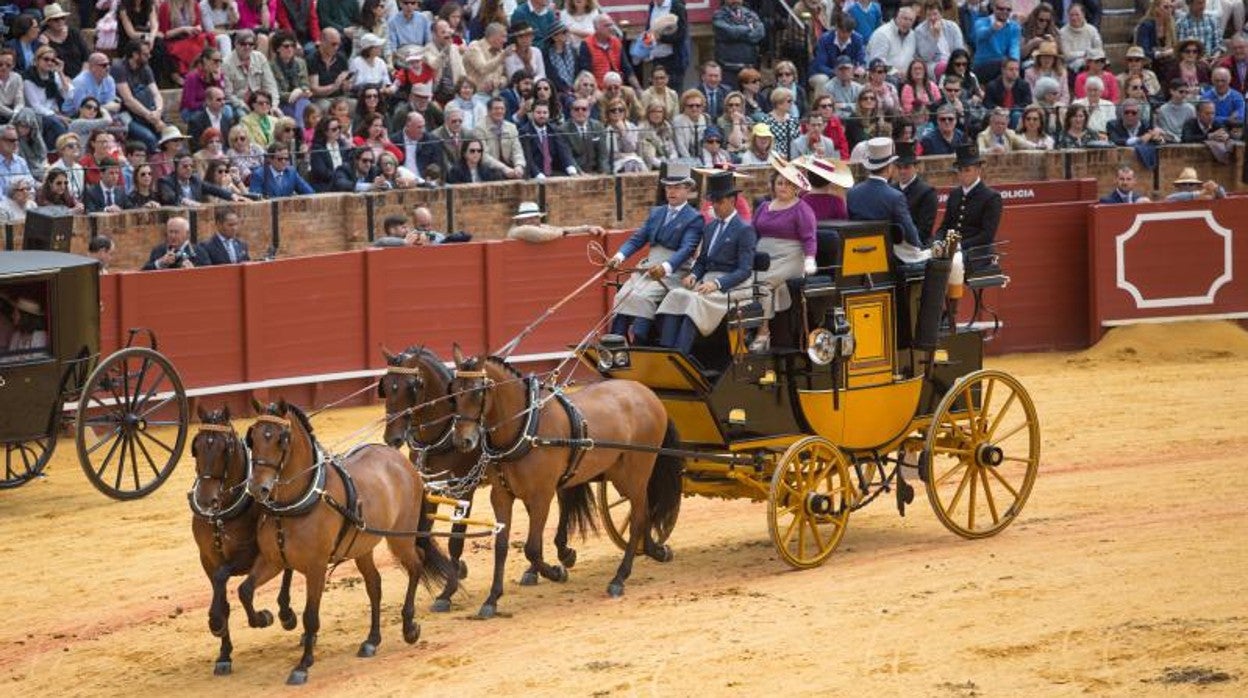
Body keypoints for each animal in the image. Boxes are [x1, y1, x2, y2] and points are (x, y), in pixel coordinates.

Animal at [188, 407, 295, 674]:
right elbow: (222, 596)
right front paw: (224, 652)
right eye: (197, 446)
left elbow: (227, 580)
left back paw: (286, 614)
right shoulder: (208, 560)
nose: (204, 500)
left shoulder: (250, 555)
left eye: (225, 449)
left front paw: (260, 617)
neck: (220, 514)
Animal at [235, 402, 451, 684]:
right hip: (362, 547)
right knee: (374, 585)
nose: (257, 488)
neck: (295, 503)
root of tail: (401, 461)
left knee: (416, 565)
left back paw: (409, 627)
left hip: (400, 537)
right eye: (253, 437)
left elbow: (310, 616)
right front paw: (263, 618)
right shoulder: (273, 561)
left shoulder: (316, 567)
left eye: (282, 439)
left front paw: (303, 665)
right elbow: (245, 590)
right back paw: (372, 640)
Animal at [376, 347, 479, 614]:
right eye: (386, 386)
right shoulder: (429, 488)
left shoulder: (466, 490)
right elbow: (422, 534)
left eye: (412, 386)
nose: (392, 438)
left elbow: (455, 541)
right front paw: (456, 572)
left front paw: (447, 593)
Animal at [449, 347, 683, 619]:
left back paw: (620, 577)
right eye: (453, 392)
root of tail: (648, 393)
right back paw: (655, 551)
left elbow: (532, 548)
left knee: (637, 518)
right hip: (620, 475)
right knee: (644, 511)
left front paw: (556, 571)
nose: (462, 441)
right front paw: (492, 599)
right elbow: (501, 546)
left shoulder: (541, 496)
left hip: (636, 472)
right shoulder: (501, 496)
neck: (526, 427)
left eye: (478, 391)